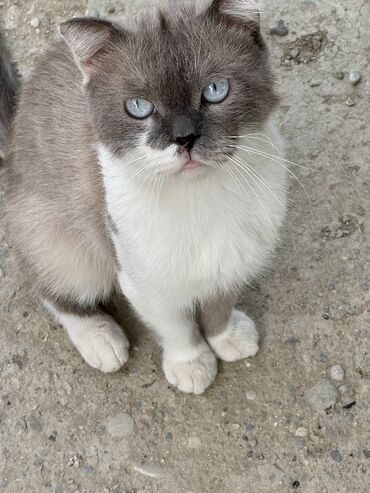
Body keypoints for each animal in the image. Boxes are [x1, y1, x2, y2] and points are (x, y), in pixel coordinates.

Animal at [1, 0, 288, 392]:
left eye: (215, 90)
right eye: (139, 107)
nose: (184, 138)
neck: (199, 199)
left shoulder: (233, 259)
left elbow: (219, 304)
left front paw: (226, 337)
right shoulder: (145, 282)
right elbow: (176, 326)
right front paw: (191, 364)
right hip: (60, 243)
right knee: (53, 291)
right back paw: (101, 339)